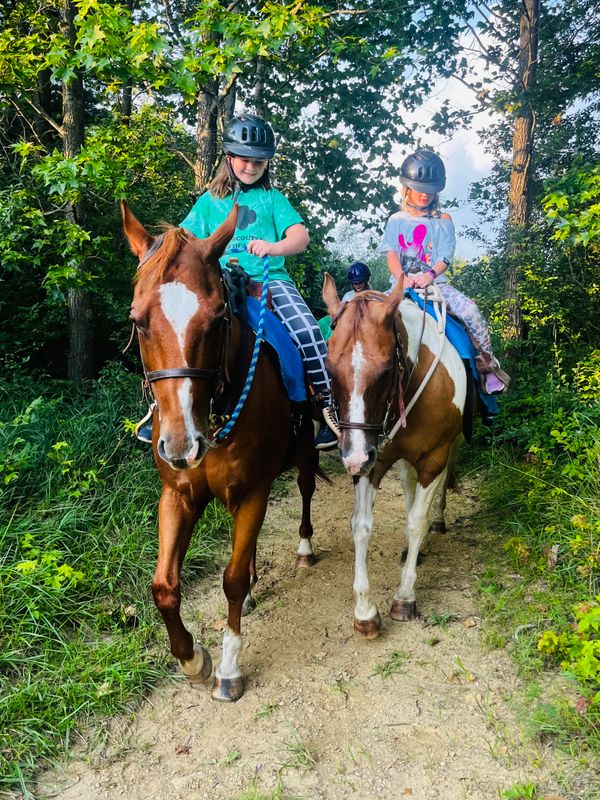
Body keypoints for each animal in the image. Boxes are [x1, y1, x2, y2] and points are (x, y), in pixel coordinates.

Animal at [120, 205, 318, 700]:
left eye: (216, 319)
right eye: (138, 320)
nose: (181, 445)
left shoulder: (254, 492)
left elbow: (229, 580)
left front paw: (228, 669)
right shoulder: (178, 495)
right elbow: (164, 586)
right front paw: (192, 660)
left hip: (306, 454)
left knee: (306, 489)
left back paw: (304, 548)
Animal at [324, 276, 468, 636]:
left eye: (387, 370)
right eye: (329, 369)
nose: (353, 458)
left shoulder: (433, 458)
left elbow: (417, 521)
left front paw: (404, 597)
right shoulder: (373, 459)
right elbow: (361, 524)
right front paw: (364, 610)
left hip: (449, 447)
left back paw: (437, 519)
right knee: (408, 488)